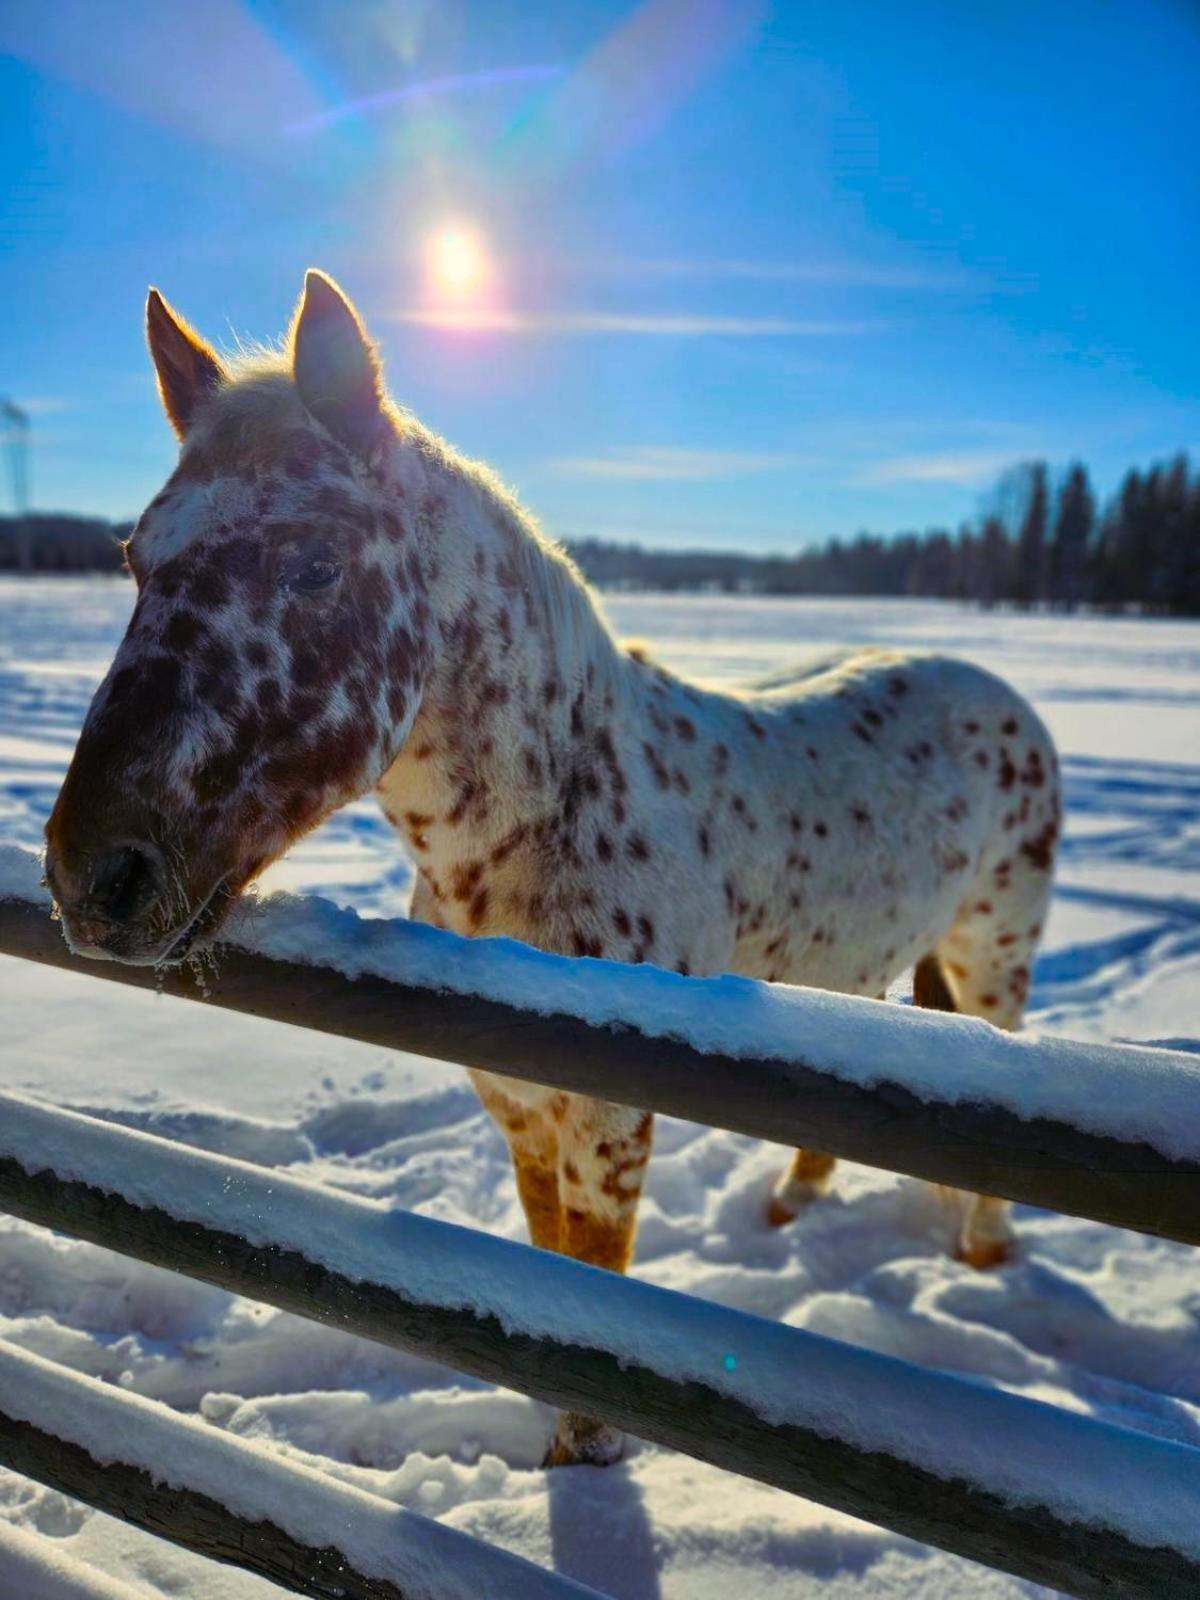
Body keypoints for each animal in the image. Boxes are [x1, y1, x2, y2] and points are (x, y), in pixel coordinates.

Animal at [44, 268, 1062, 1465]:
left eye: (317, 563)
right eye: (135, 560)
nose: (93, 877)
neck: (547, 830)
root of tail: (1004, 698)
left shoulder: (610, 1127)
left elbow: (596, 1278)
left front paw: (590, 1457)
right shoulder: (518, 1107)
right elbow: (547, 1263)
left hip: (994, 960)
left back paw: (979, 1251)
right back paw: (788, 1206)